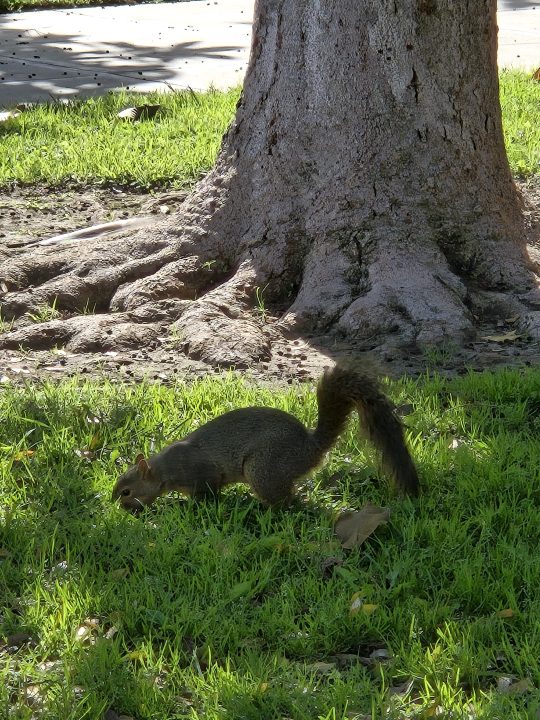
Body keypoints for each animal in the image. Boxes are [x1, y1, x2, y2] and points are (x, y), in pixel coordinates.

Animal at [112, 360, 420, 512]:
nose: (122, 509)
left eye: (127, 491)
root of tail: (311, 448)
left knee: (287, 502)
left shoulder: (202, 474)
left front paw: (186, 507)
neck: (166, 469)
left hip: (264, 467)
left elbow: (206, 495)